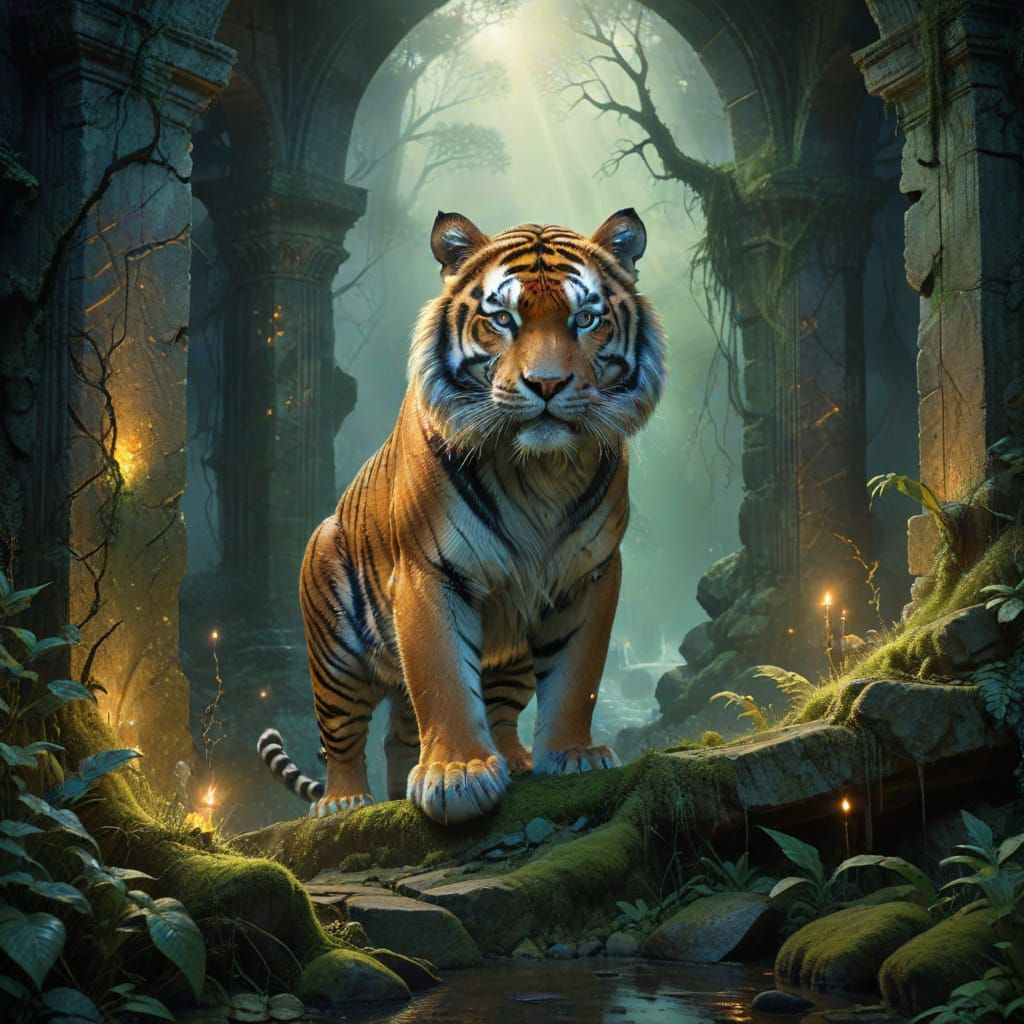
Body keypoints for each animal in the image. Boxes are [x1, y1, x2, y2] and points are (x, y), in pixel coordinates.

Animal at [258, 208, 666, 825]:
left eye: (586, 318)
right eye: (502, 319)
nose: (547, 384)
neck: (538, 471)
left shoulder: (588, 575)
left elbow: (578, 675)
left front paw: (572, 755)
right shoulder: (428, 573)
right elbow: (443, 678)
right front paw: (457, 776)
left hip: (512, 649)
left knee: (451, 720)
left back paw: (499, 764)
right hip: (336, 655)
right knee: (345, 735)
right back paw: (346, 800)